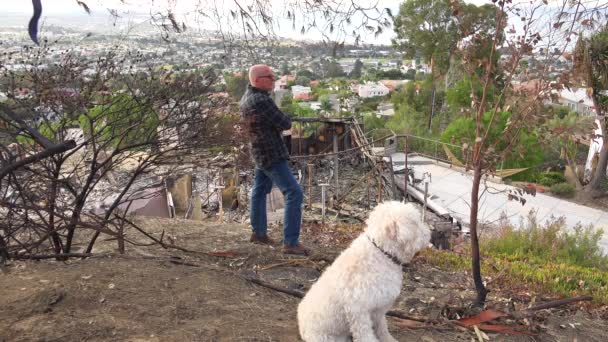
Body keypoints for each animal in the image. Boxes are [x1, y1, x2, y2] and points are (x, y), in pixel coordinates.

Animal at [296, 202, 430, 340]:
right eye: (416, 223)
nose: (429, 233)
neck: (382, 252)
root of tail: (301, 326)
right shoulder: (358, 310)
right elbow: (365, 333)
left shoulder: (378, 309)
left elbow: (382, 328)